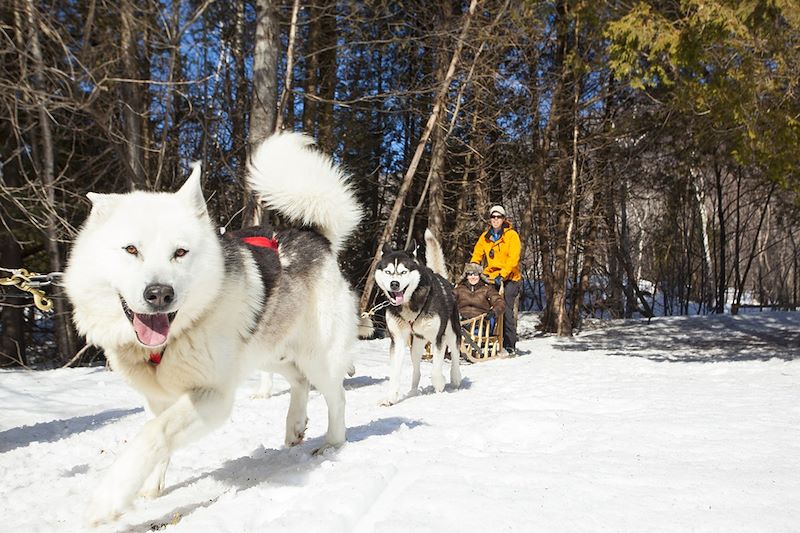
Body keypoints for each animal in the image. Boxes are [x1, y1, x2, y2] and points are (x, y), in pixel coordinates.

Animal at [64, 133, 360, 524]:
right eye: (130, 249)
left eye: (180, 252)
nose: (159, 293)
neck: (171, 340)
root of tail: (315, 237)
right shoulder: (158, 397)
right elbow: (157, 434)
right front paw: (149, 488)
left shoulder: (212, 396)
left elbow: (152, 434)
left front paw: (109, 498)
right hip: (266, 352)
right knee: (298, 380)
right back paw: (295, 425)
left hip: (317, 356)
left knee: (335, 396)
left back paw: (332, 444)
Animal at [372, 228, 460, 404]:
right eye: (388, 272)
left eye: (403, 272)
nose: (394, 284)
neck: (410, 303)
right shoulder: (398, 340)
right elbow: (394, 372)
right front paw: (391, 397)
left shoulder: (438, 338)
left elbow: (436, 369)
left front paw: (439, 384)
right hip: (417, 345)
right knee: (416, 368)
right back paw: (413, 391)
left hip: (451, 332)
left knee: (455, 353)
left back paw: (455, 378)